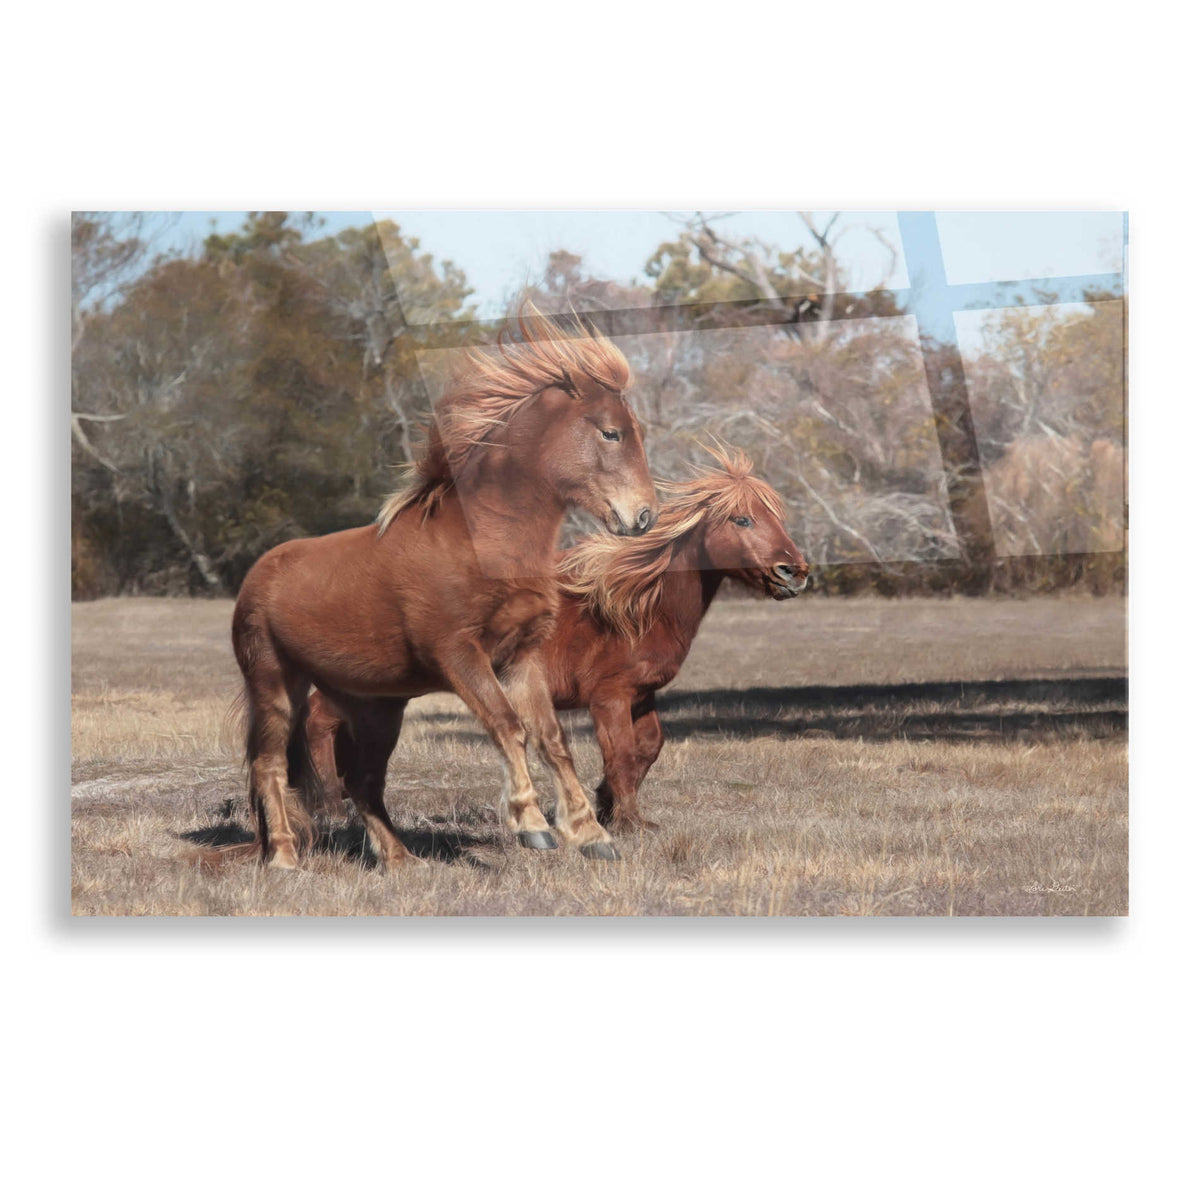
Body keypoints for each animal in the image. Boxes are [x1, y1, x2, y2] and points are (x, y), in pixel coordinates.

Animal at [230, 306, 658, 869]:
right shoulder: (459, 654)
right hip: (276, 687)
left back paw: (400, 860)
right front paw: (532, 825)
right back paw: (283, 857)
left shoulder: (521, 658)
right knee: (270, 766)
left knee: (362, 782)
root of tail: (255, 578)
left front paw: (590, 835)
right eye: (611, 433)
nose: (644, 516)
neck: (481, 542)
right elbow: (507, 726)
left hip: (376, 708)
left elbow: (551, 738)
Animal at [306, 446, 807, 834]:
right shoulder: (608, 697)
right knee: (317, 722)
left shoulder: (641, 695)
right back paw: (330, 805)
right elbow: (621, 753)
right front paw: (627, 821)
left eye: (776, 517)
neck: (635, 606)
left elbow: (648, 748)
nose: (795, 572)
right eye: (742, 520)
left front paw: (609, 806)